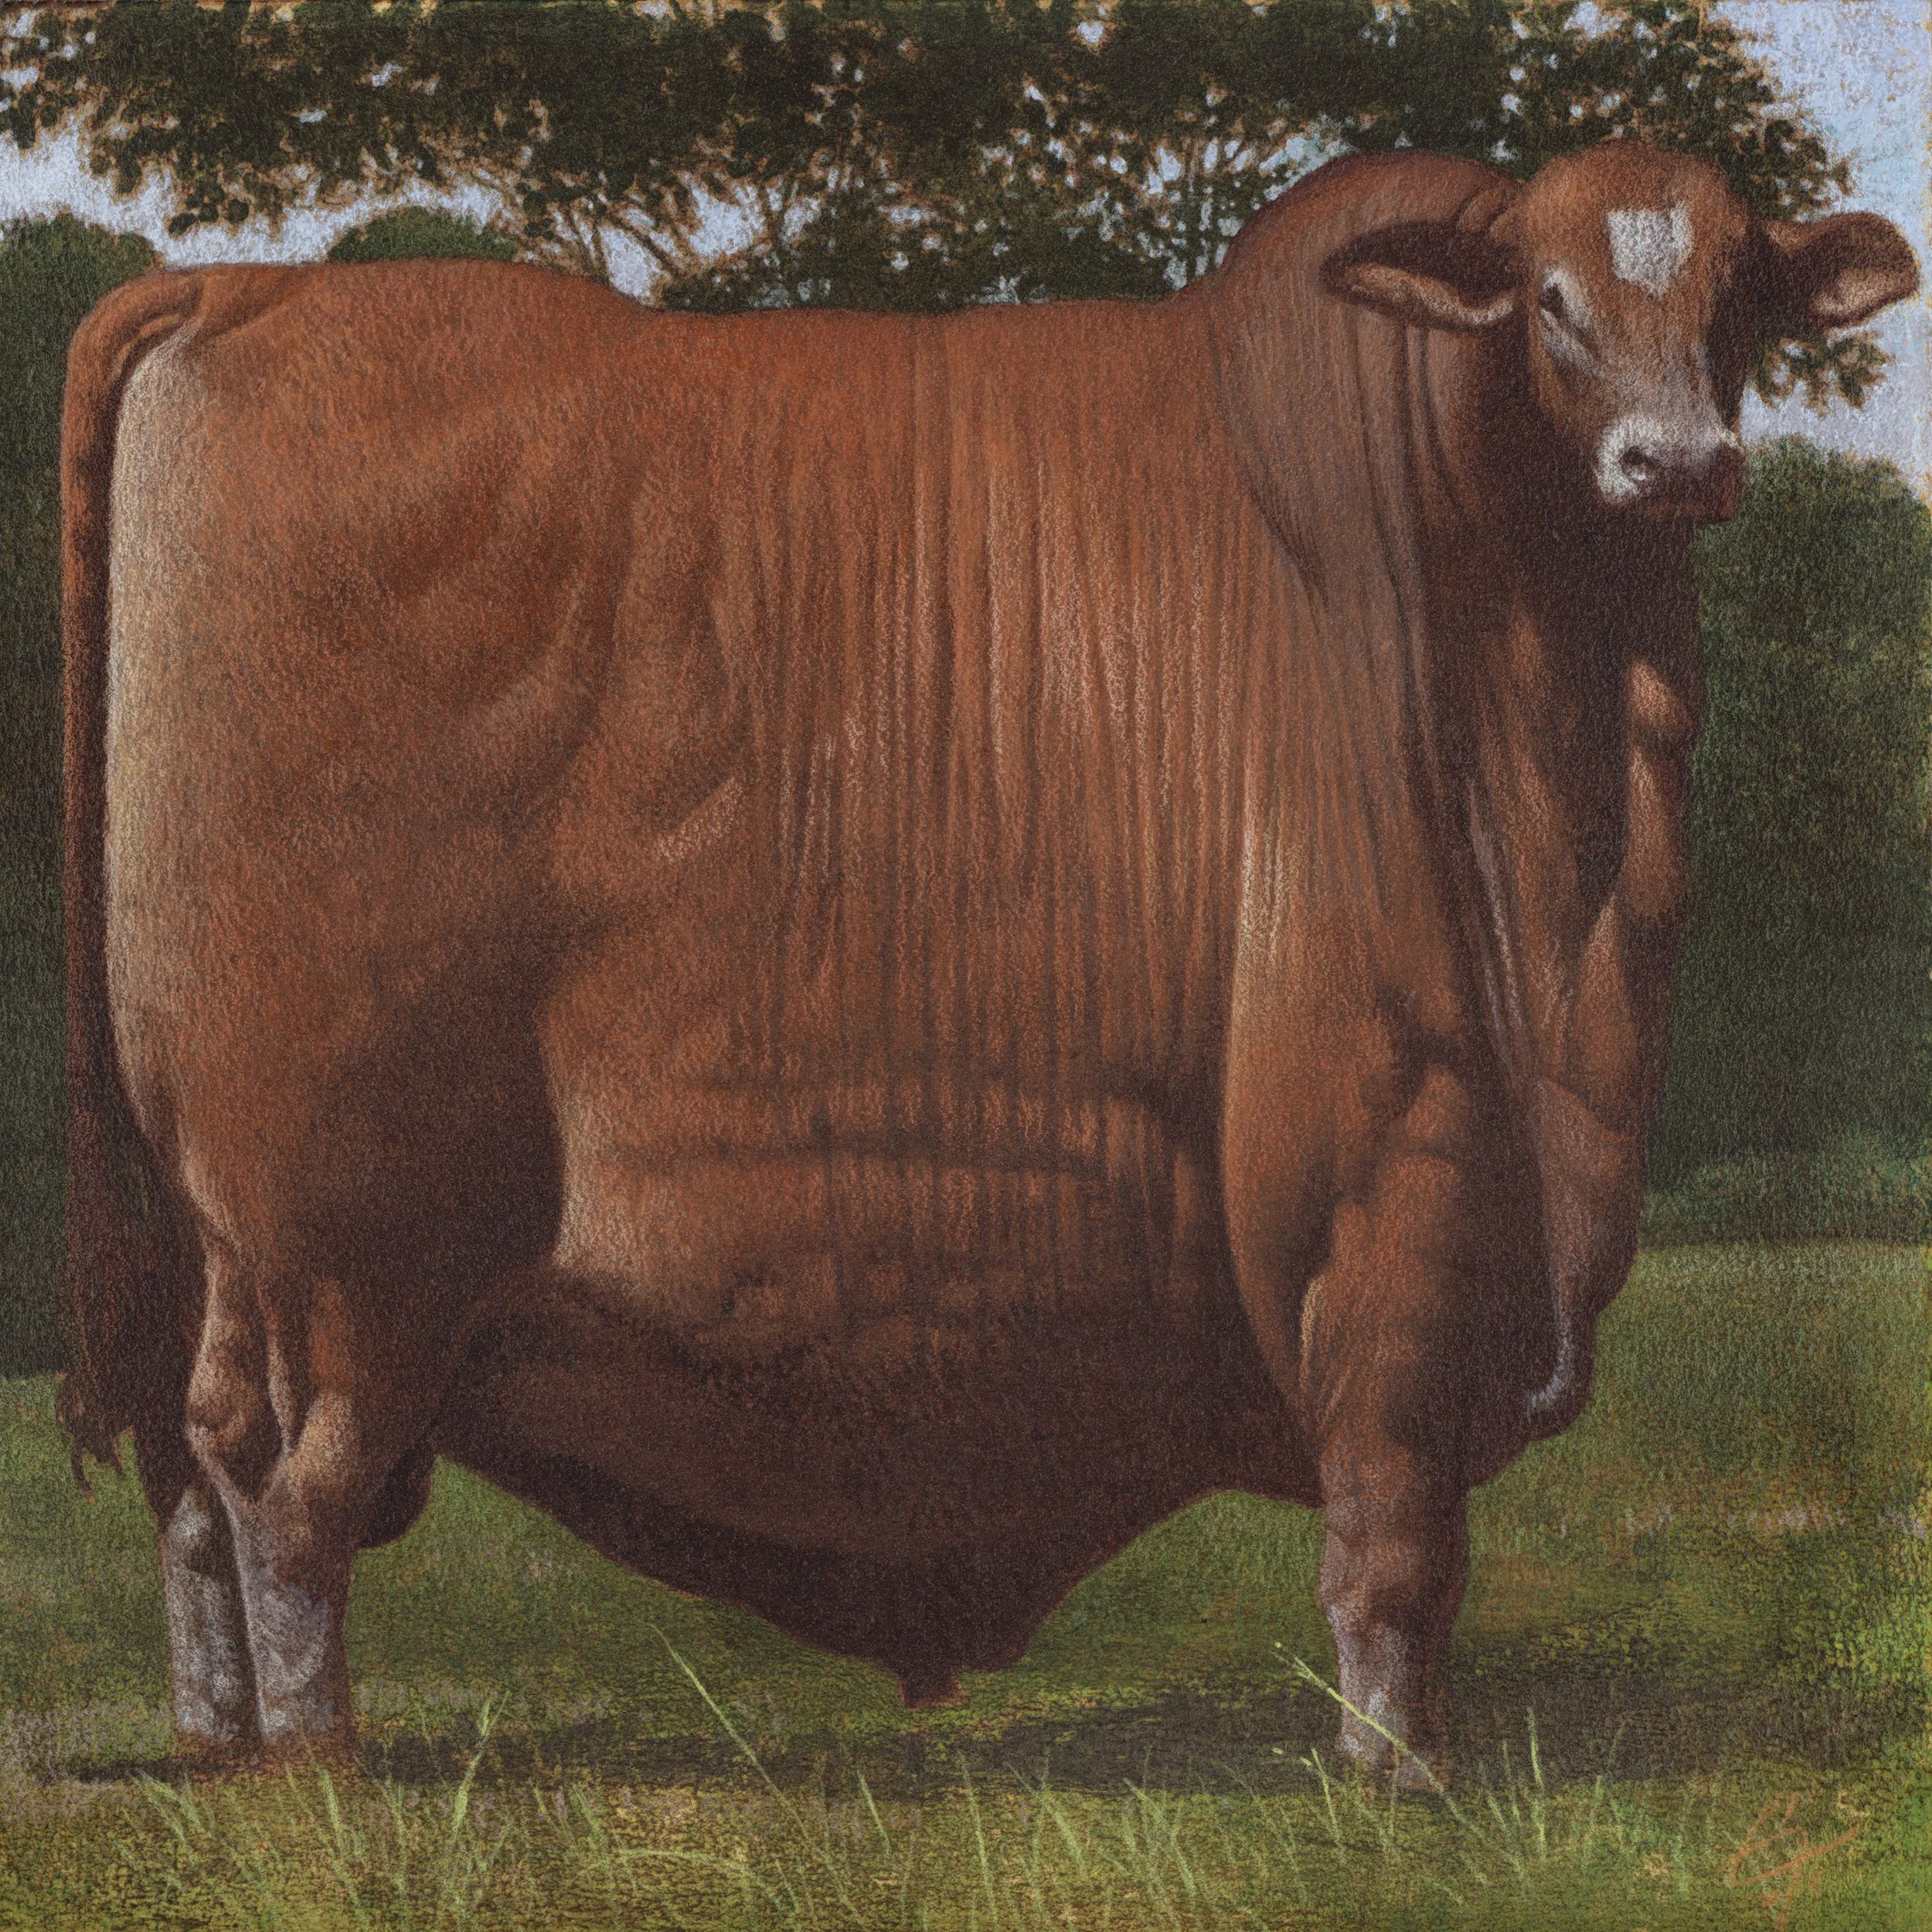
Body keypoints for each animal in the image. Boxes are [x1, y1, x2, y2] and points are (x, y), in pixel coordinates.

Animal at [58, 139, 1914, 1788]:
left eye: (1741, 299)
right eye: (1548, 299)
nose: (1677, 461)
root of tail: (245, 286)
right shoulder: (1392, 1162)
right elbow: (1392, 1531)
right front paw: (1397, 1774)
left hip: (228, 1232)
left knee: (195, 1462)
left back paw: (218, 1735)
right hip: (344, 1224)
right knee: (285, 1491)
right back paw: (317, 1753)